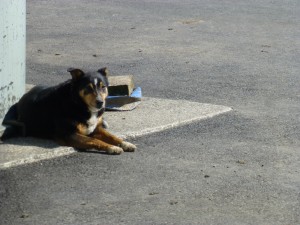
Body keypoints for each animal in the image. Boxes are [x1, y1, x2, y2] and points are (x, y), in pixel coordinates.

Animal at [0, 67, 137, 155]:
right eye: (88, 88)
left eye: (103, 87)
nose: (100, 102)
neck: (78, 103)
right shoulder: (68, 134)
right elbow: (94, 140)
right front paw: (112, 148)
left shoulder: (95, 129)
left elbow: (113, 136)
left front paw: (125, 144)